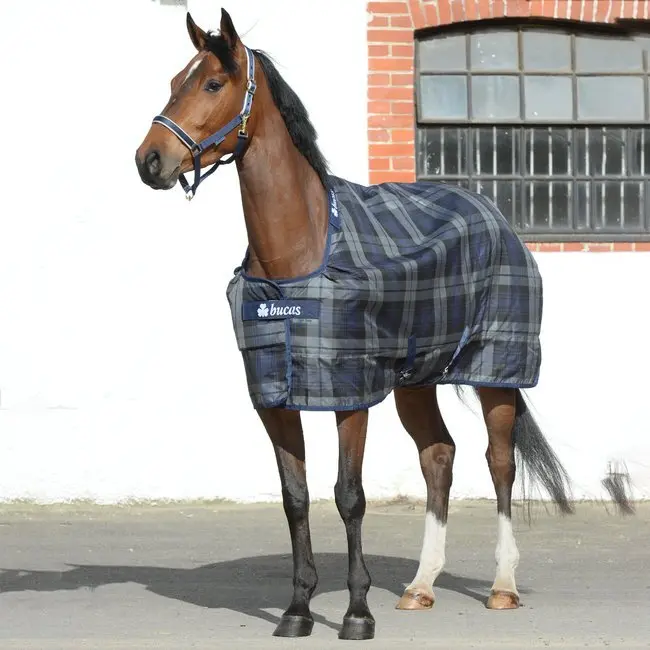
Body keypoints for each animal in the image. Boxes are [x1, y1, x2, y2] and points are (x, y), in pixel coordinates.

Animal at [135, 9, 574, 641]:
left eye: (213, 84)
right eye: (175, 80)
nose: (149, 160)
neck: (299, 253)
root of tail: (493, 213)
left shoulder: (351, 393)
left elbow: (349, 496)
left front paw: (357, 613)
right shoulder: (276, 397)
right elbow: (295, 497)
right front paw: (297, 611)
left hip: (497, 370)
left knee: (500, 462)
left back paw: (502, 586)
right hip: (416, 378)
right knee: (438, 456)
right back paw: (420, 586)